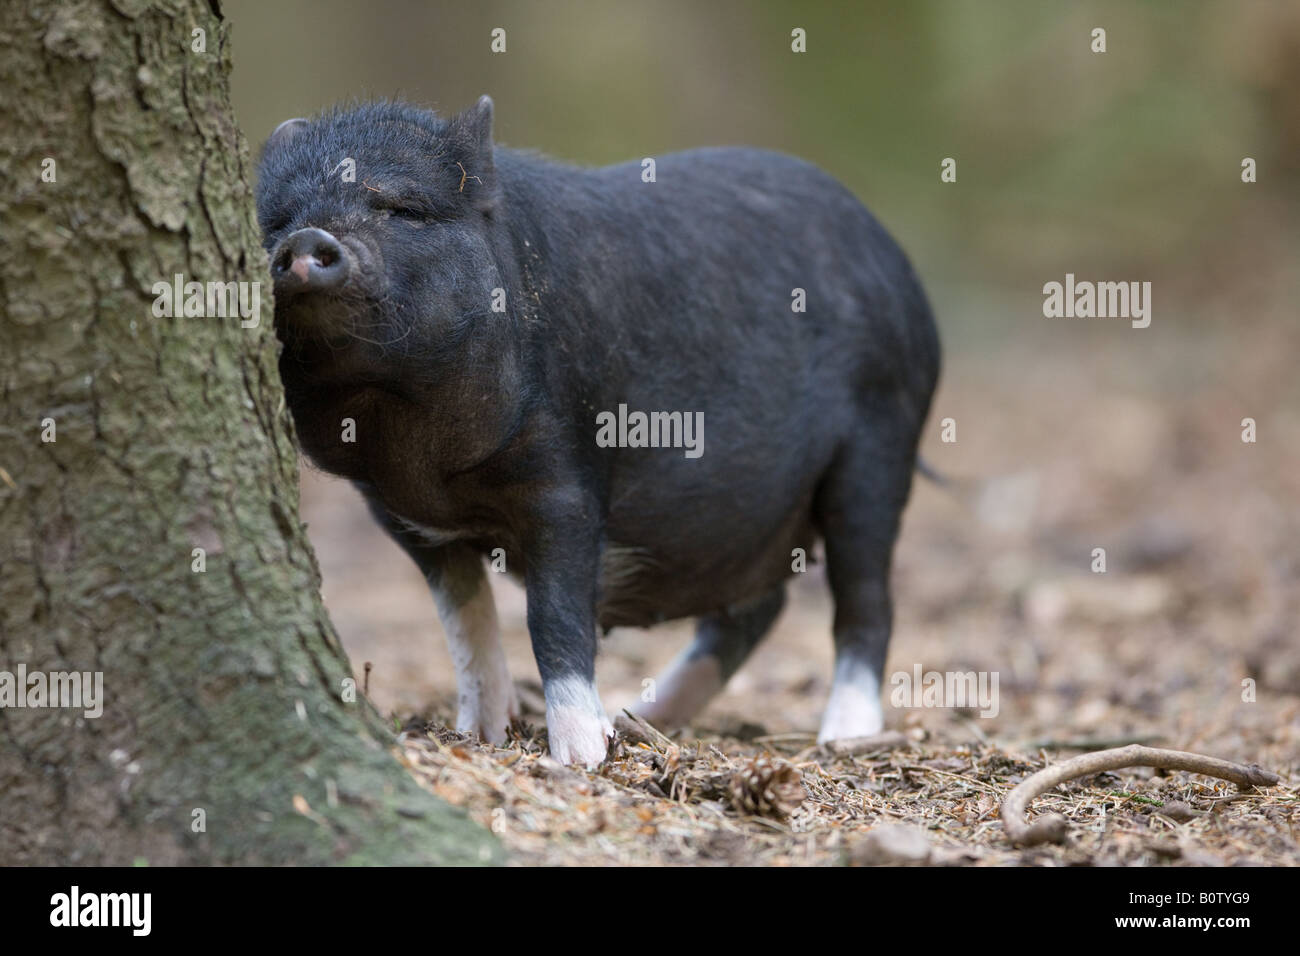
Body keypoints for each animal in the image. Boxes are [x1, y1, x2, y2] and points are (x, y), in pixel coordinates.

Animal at [256, 97, 940, 767]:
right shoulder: (406, 519)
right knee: (756, 610)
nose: (307, 239)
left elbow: (552, 616)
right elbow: (467, 621)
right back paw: (647, 719)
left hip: (881, 438)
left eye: (402, 209)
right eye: (277, 221)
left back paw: (841, 738)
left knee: (865, 600)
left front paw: (580, 759)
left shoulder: (568, 484)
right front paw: (482, 736)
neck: (430, 466)